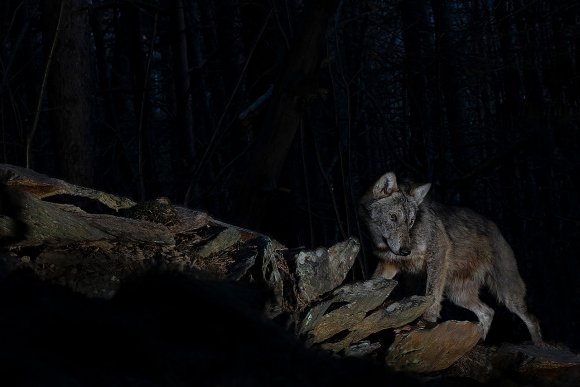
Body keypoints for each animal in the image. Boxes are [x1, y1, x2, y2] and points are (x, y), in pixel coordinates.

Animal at [360, 171, 540, 344]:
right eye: (393, 217)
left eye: (411, 221)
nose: (406, 251)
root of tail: (498, 230)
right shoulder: (389, 264)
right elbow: (373, 282)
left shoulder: (438, 253)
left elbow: (431, 294)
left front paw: (427, 323)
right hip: (458, 294)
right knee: (488, 312)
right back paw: (478, 342)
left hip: (508, 295)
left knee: (532, 320)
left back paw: (539, 345)